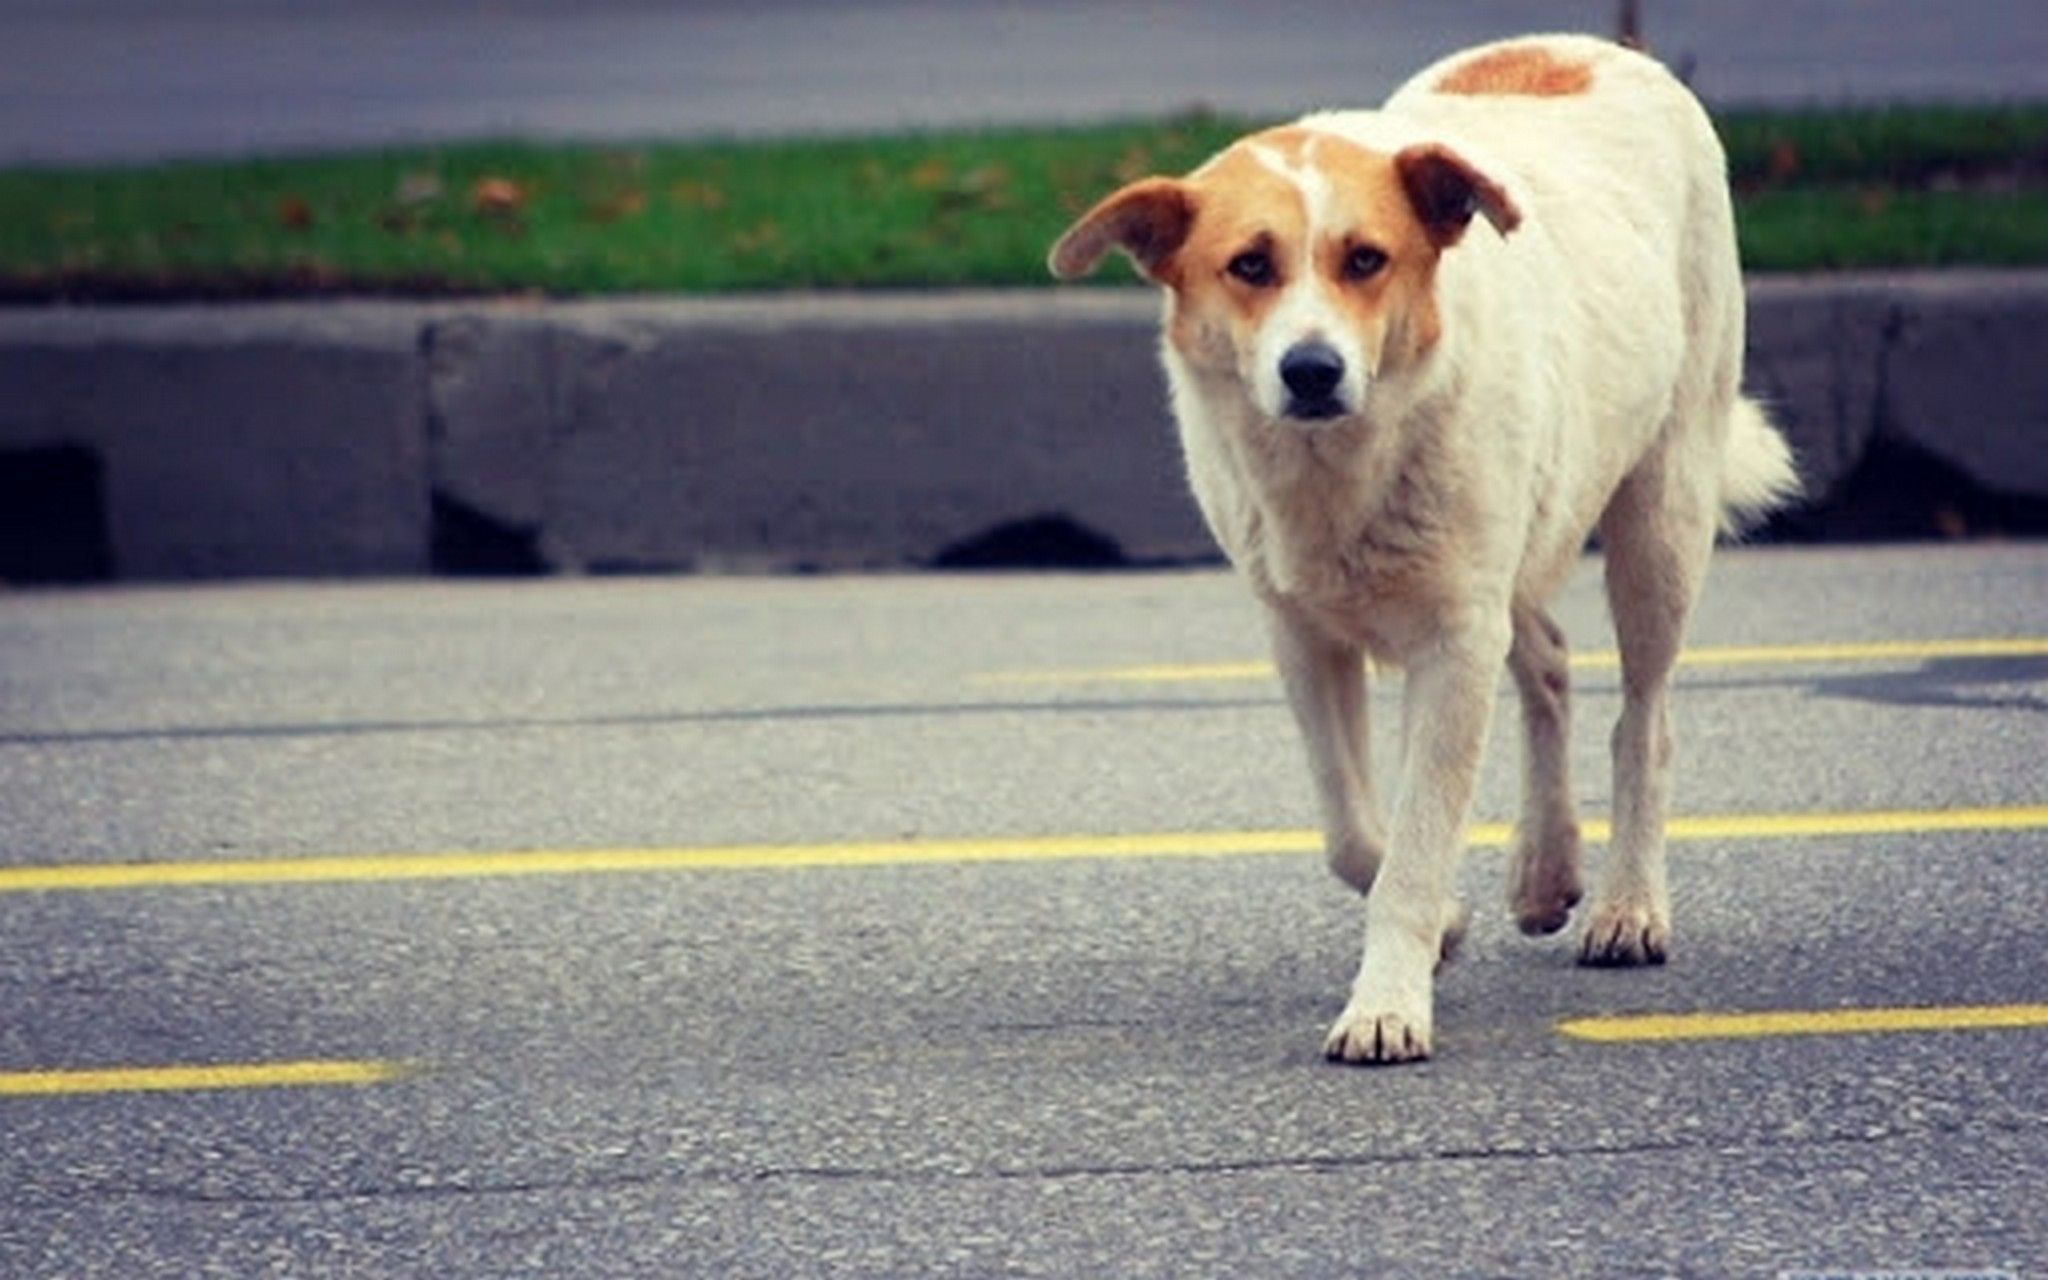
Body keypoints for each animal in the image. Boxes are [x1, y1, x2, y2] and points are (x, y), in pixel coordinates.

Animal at [1048, 34, 1802, 1064]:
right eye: (1250, 265)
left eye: (1367, 259)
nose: (1312, 371)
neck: (1341, 467)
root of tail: (1588, 44)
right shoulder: (1304, 637)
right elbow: (1357, 835)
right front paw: (1444, 923)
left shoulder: (1452, 643)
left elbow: (1412, 842)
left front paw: (1387, 1004)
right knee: (1548, 662)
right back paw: (1545, 869)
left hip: (1662, 513)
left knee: (1644, 720)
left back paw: (1627, 906)